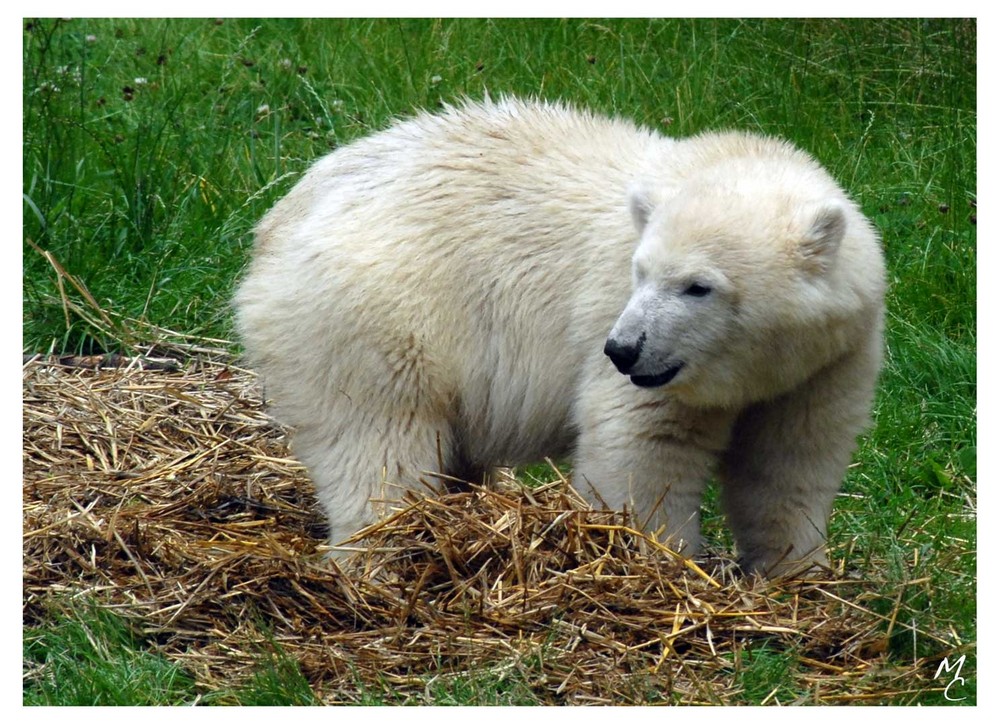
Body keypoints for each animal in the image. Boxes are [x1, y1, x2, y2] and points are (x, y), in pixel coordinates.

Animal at [238, 97, 888, 580]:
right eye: (640, 271)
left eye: (698, 286)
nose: (623, 349)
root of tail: (278, 222)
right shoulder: (619, 326)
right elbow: (645, 450)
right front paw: (655, 566)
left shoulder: (834, 354)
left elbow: (790, 457)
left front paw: (796, 572)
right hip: (375, 315)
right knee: (378, 445)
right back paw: (382, 557)